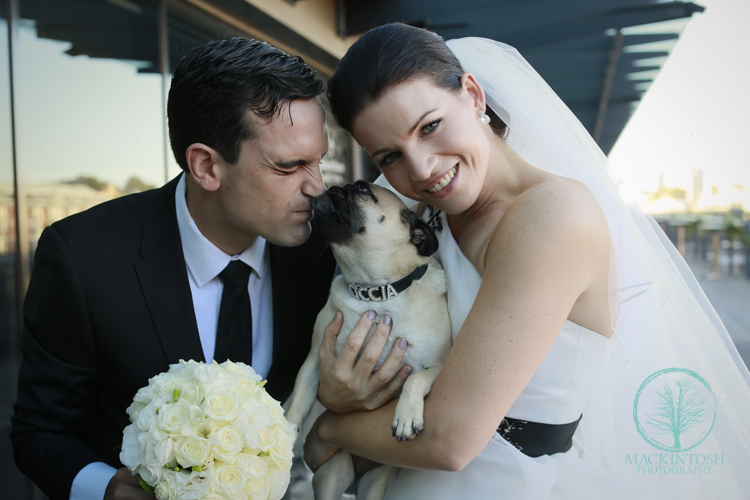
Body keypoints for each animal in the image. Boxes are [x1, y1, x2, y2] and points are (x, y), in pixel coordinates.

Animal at [286, 181, 452, 500]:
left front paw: (406, 416)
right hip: (333, 474)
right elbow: (296, 407)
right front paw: (283, 435)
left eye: (362, 189)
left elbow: (417, 378)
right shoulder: (314, 362)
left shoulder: (439, 366)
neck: (376, 292)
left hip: (376, 481)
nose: (333, 186)